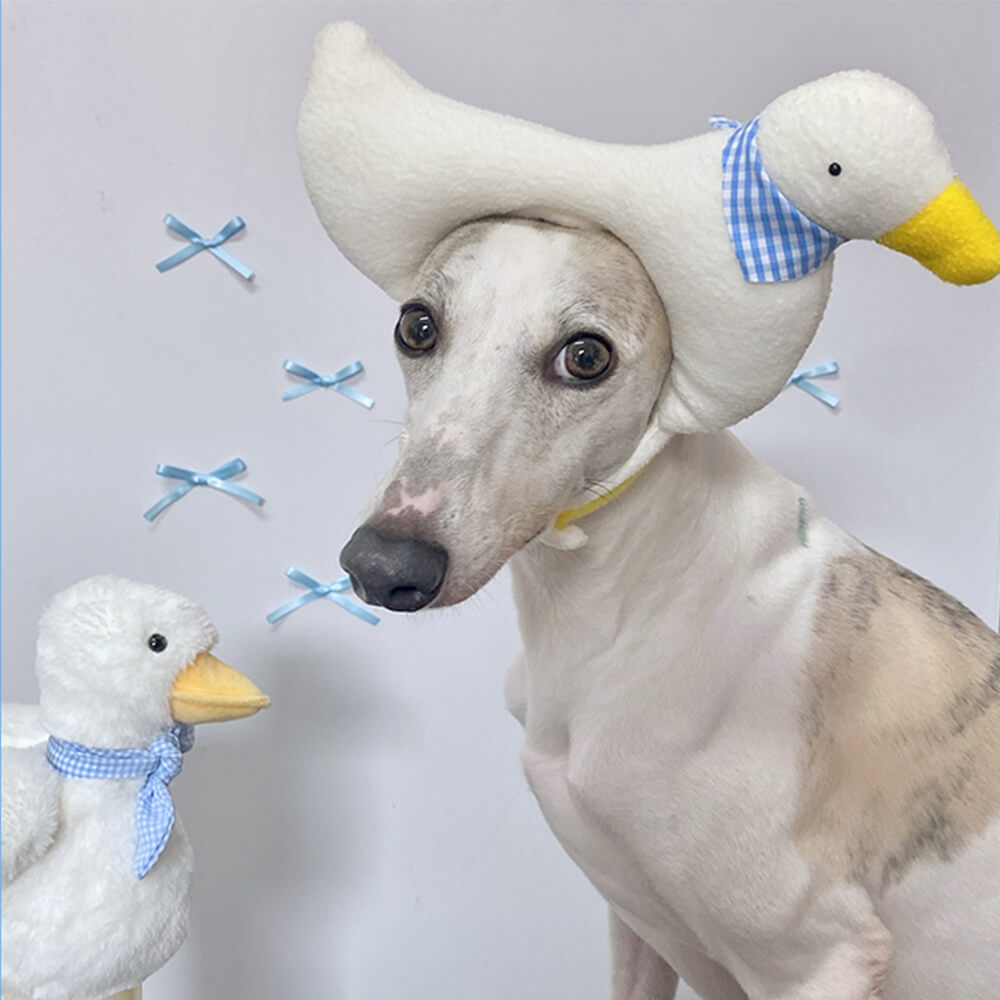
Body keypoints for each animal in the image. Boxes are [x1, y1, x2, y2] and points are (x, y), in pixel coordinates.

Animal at [340, 219, 996, 1000]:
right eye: (417, 325)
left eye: (586, 355)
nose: (383, 567)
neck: (628, 605)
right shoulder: (636, 918)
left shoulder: (821, 955)